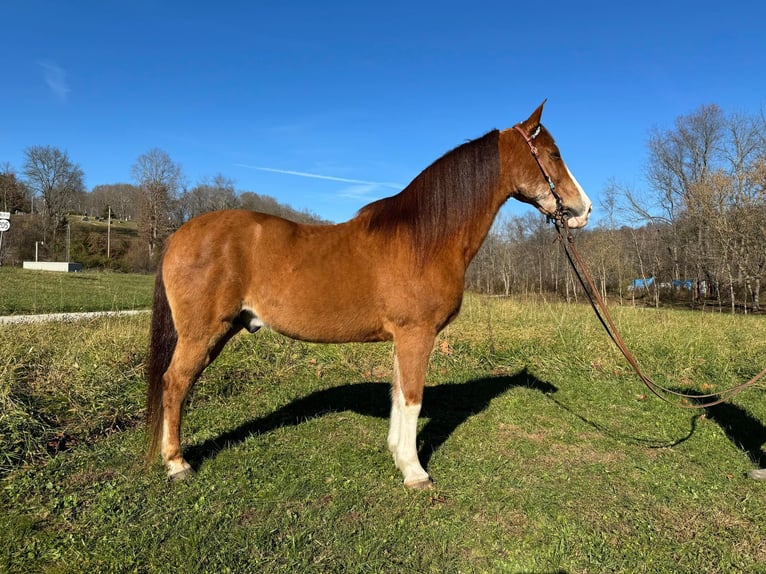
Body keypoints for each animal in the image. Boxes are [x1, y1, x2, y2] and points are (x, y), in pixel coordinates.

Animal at [148, 102, 592, 490]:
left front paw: (398, 455)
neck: (424, 240)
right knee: (174, 383)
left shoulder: (403, 337)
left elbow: (398, 395)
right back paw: (177, 464)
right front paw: (415, 472)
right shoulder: (417, 334)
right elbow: (412, 399)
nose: (583, 210)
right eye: (553, 154)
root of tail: (179, 235)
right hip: (202, 332)